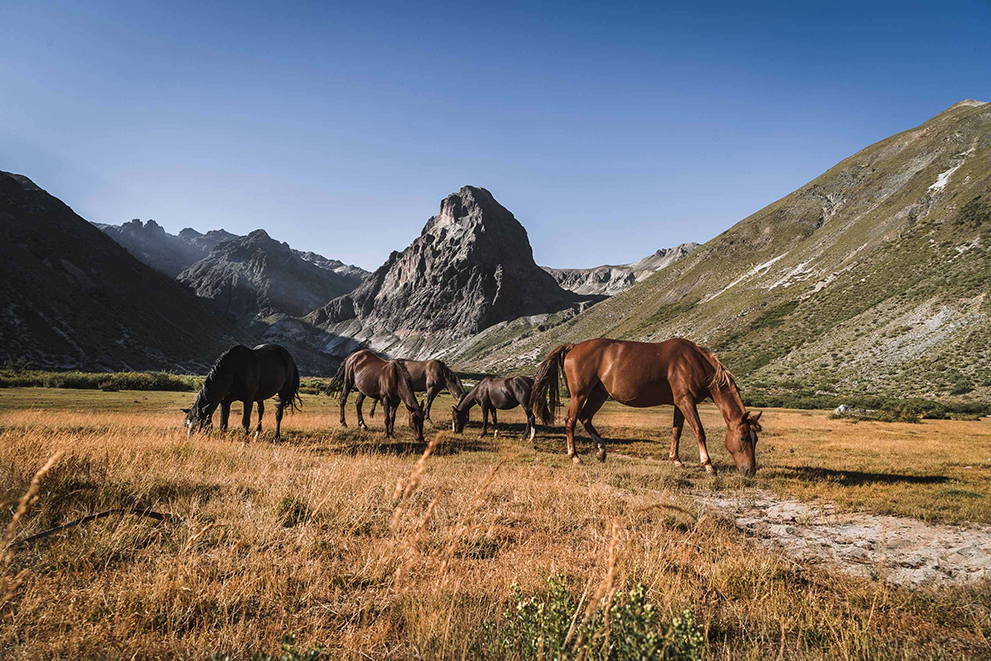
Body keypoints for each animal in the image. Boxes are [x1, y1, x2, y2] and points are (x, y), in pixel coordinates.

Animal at [532, 336, 764, 474]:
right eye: (743, 437)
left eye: (756, 439)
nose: (750, 470)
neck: (694, 363)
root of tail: (574, 347)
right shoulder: (685, 401)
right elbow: (699, 430)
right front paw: (708, 465)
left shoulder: (679, 404)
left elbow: (676, 431)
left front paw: (675, 460)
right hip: (580, 394)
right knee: (571, 420)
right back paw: (575, 457)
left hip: (598, 394)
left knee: (585, 418)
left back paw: (601, 450)